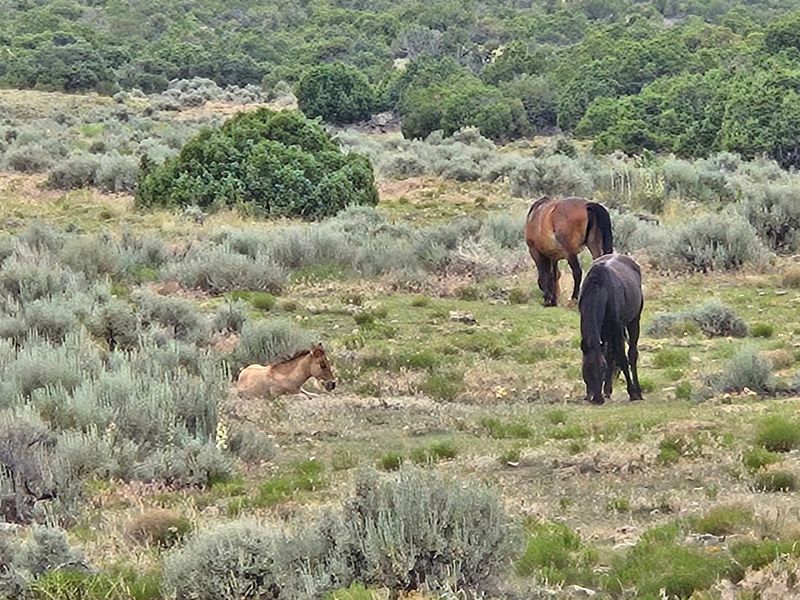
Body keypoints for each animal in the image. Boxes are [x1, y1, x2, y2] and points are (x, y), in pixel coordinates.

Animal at [578, 253, 643, 405]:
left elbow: (623, 358)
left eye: (602, 368)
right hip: (606, 330)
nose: (597, 399)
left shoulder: (617, 327)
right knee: (610, 353)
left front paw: (632, 393)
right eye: (586, 369)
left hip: (633, 321)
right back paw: (607, 390)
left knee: (632, 354)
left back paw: (637, 391)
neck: (601, 289)